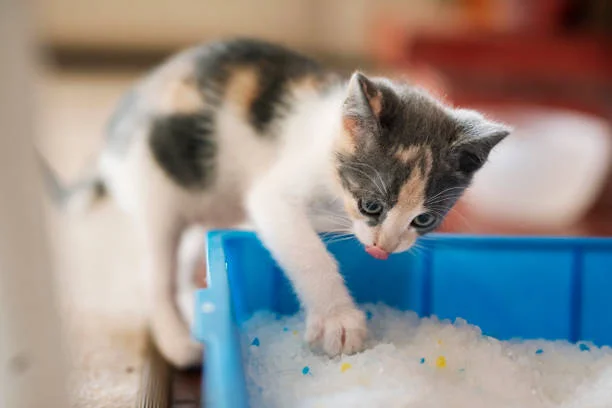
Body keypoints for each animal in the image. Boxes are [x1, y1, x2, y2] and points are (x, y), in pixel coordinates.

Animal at [43, 39, 510, 368]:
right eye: (371, 206)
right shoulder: (273, 195)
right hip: (159, 186)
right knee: (155, 268)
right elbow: (308, 252)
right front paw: (339, 319)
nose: (383, 249)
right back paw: (176, 340)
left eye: (423, 219)